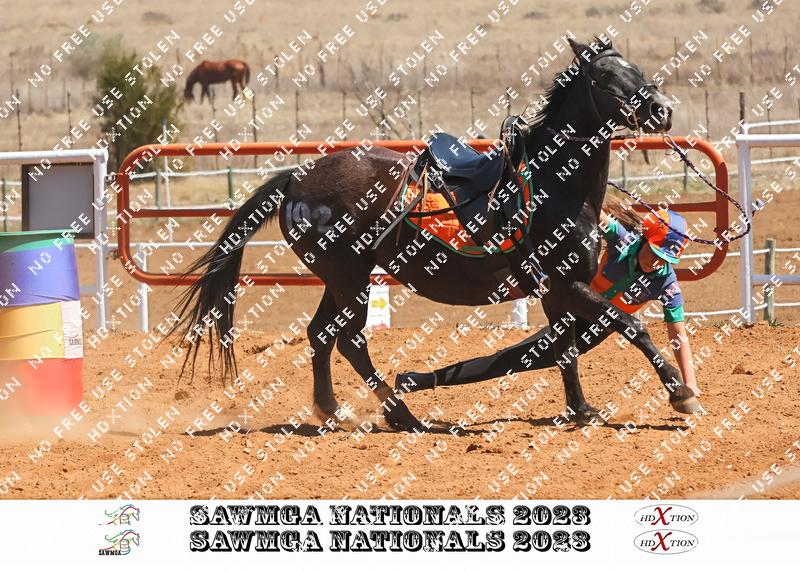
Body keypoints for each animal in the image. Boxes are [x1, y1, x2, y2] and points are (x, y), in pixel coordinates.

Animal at [168, 36, 701, 432]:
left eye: (636, 67)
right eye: (606, 78)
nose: (663, 110)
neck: (555, 185)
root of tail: (296, 178)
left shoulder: (559, 291)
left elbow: (566, 347)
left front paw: (581, 409)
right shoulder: (567, 285)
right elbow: (630, 326)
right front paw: (681, 395)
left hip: (340, 280)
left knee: (321, 335)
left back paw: (337, 411)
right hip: (349, 279)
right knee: (348, 341)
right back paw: (399, 414)